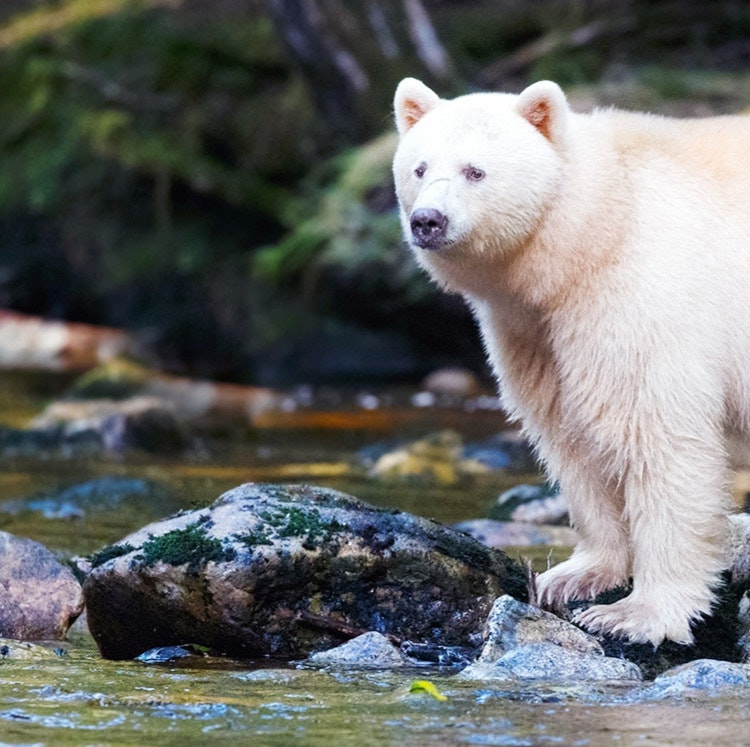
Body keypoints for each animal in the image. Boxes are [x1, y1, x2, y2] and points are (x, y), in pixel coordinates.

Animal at [391, 76, 750, 646]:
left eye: (475, 170)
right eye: (419, 168)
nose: (428, 220)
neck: (596, 225)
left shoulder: (638, 298)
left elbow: (657, 437)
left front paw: (638, 614)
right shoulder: (537, 332)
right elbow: (570, 434)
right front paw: (574, 576)